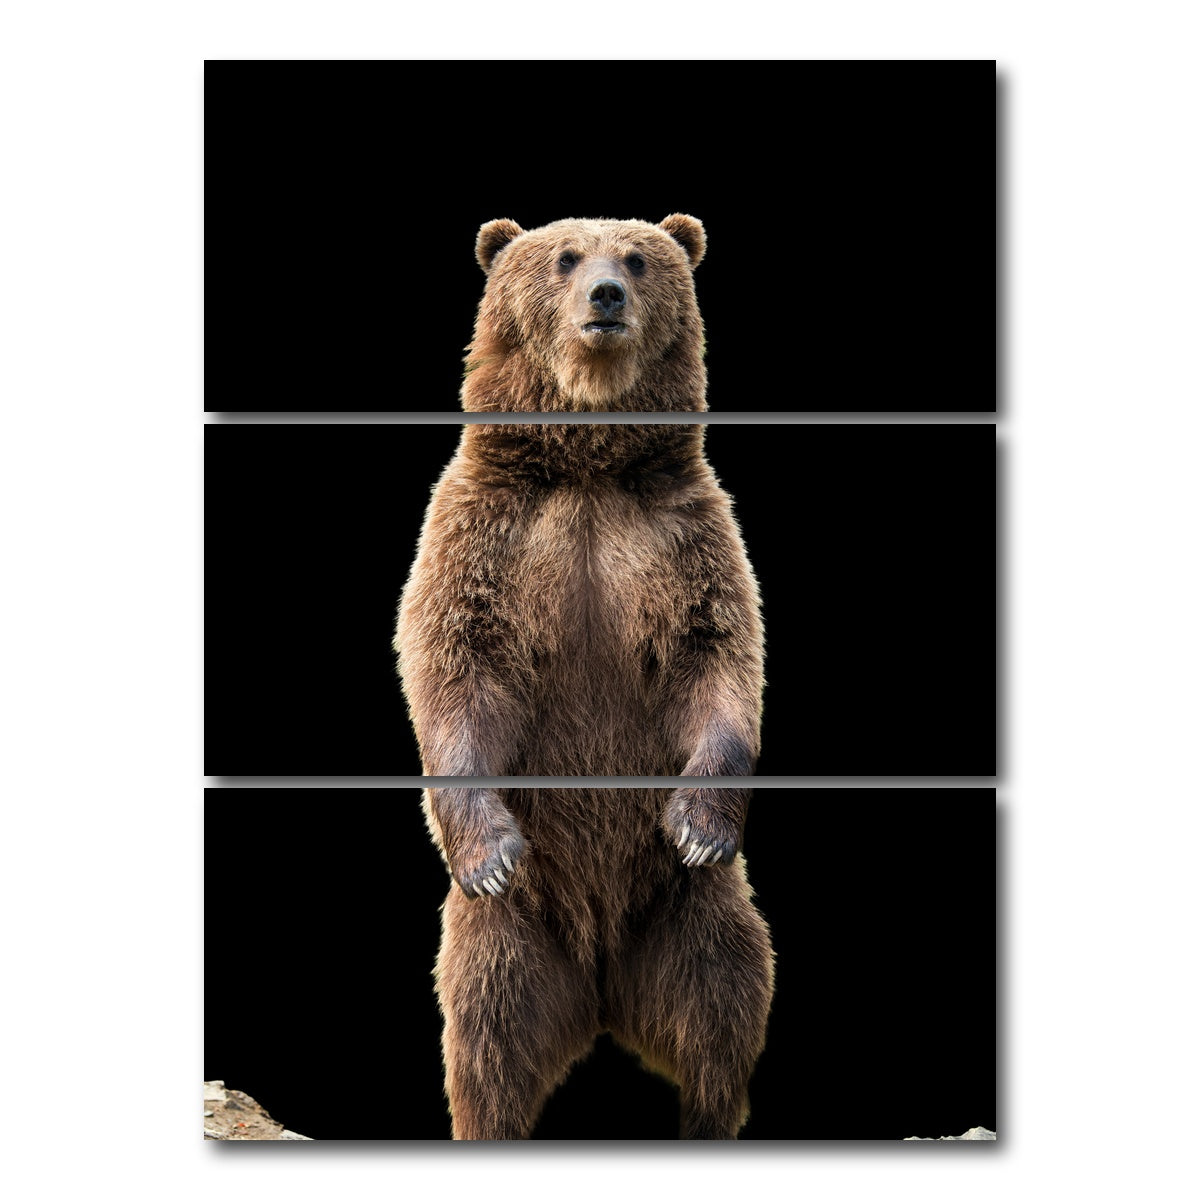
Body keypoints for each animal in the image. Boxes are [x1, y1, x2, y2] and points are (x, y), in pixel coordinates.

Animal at [394, 216, 773, 1139]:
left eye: (637, 258)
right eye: (565, 258)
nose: (606, 295)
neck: (589, 466)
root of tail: (601, 991)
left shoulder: (680, 536)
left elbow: (717, 659)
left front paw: (701, 826)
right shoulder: (488, 534)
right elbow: (457, 667)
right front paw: (489, 853)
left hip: (690, 914)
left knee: (723, 1007)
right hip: (514, 938)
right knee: (487, 1036)